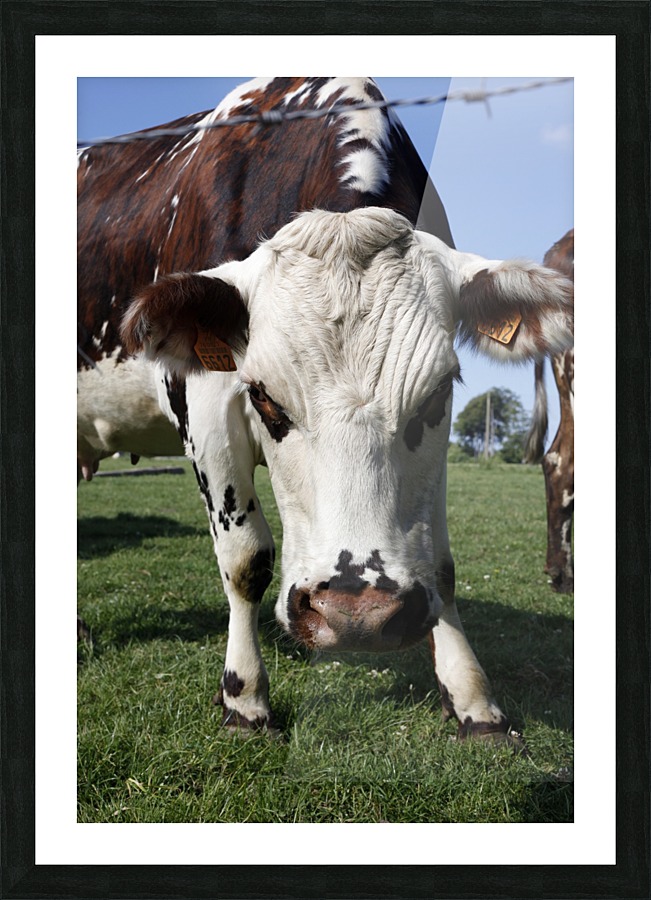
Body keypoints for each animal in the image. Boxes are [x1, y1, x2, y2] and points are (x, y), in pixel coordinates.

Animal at [78, 78, 574, 740]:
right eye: (264, 397)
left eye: (440, 393)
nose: (356, 613)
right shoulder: (204, 406)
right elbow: (245, 560)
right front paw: (245, 698)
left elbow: (440, 564)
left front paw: (472, 698)